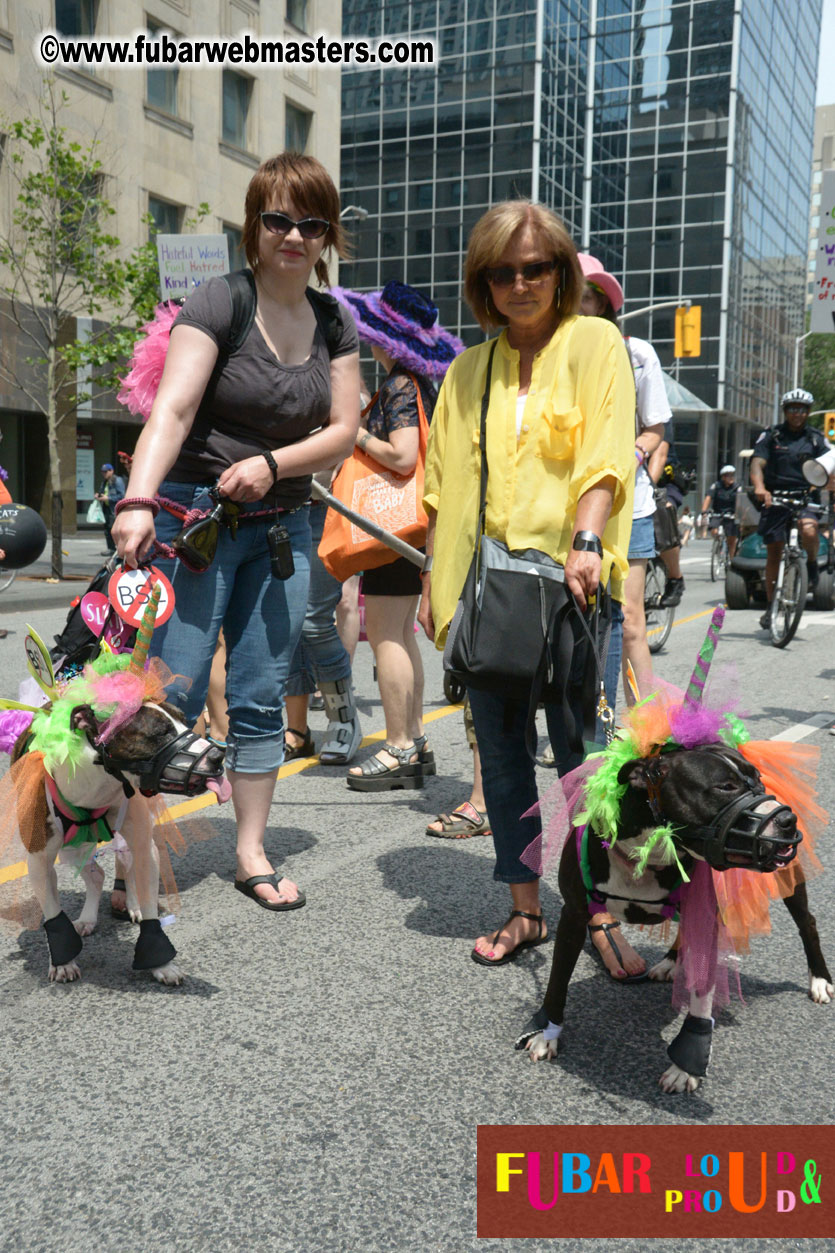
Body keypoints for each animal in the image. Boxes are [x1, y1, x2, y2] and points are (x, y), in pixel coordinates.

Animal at [514, 746, 827, 1092]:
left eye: (757, 779)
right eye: (725, 786)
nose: (787, 819)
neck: (648, 852)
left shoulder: (705, 913)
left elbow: (702, 995)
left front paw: (686, 1064)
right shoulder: (572, 915)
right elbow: (556, 982)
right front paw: (547, 1032)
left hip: (788, 878)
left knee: (808, 924)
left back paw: (820, 980)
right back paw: (671, 961)